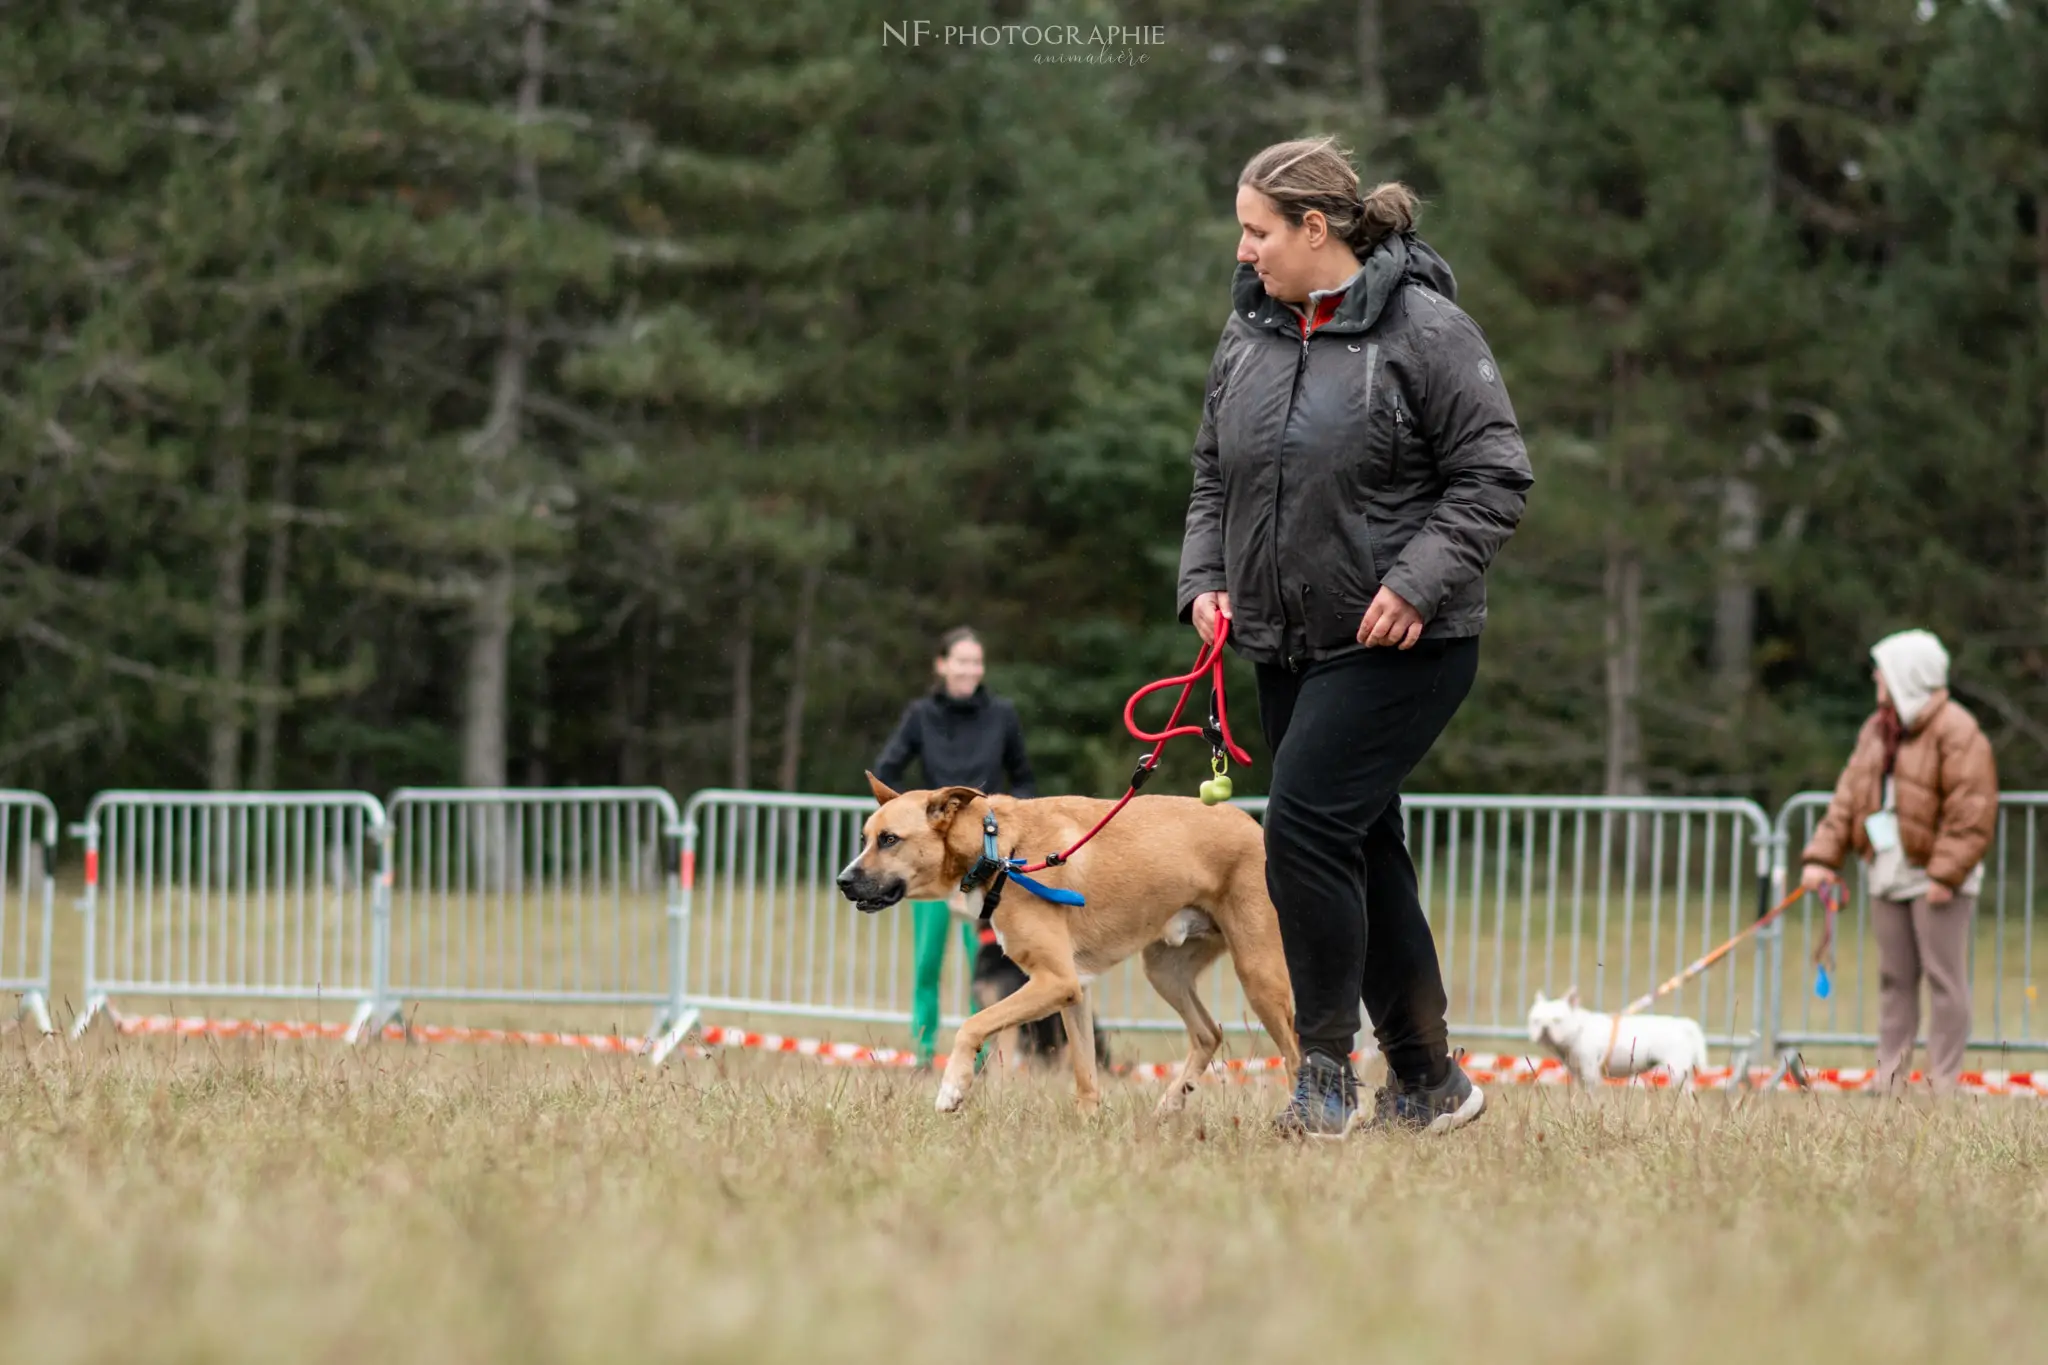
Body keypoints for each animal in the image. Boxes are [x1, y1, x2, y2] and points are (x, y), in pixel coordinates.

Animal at [839, 773, 1302, 1113]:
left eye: (890, 839)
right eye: (865, 838)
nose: (843, 881)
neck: (998, 850)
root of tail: (1256, 827)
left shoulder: (1054, 981)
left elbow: (973, 1025)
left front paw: (952, 1088)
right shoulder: (1074, 988)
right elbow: (1085, 1076)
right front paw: (1088, 1130)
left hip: (1259, 972)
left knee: (1295, 1055)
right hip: (1164, 969)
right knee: (1208, 1033)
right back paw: (1170, 1105)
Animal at [1523, 994, 1712, 1088]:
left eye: (1557, 1020)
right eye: (1535, 1020)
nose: (1545, 1028)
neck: (1579, 1029)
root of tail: (1684, 1024)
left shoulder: (1590, 1073)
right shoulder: (1578, 1073)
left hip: (1675, 1070)